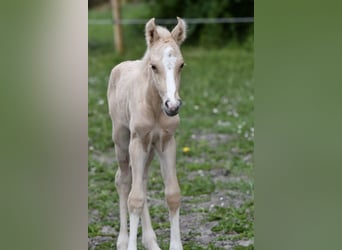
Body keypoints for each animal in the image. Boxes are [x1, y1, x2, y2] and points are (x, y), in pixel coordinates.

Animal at [107, 17, 186, 250]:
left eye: (181, 65)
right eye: (154, 66)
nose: (172, 106)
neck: (154, 108)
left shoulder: (167, 142)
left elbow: (172, 194)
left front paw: (175, 246)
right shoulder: (137, 141)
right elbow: (134, 199)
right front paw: (130, 245)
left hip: (149, 148)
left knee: (140, 181)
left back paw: (151, 241)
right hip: (121, 139)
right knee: (124, 181)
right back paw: (123, 241)